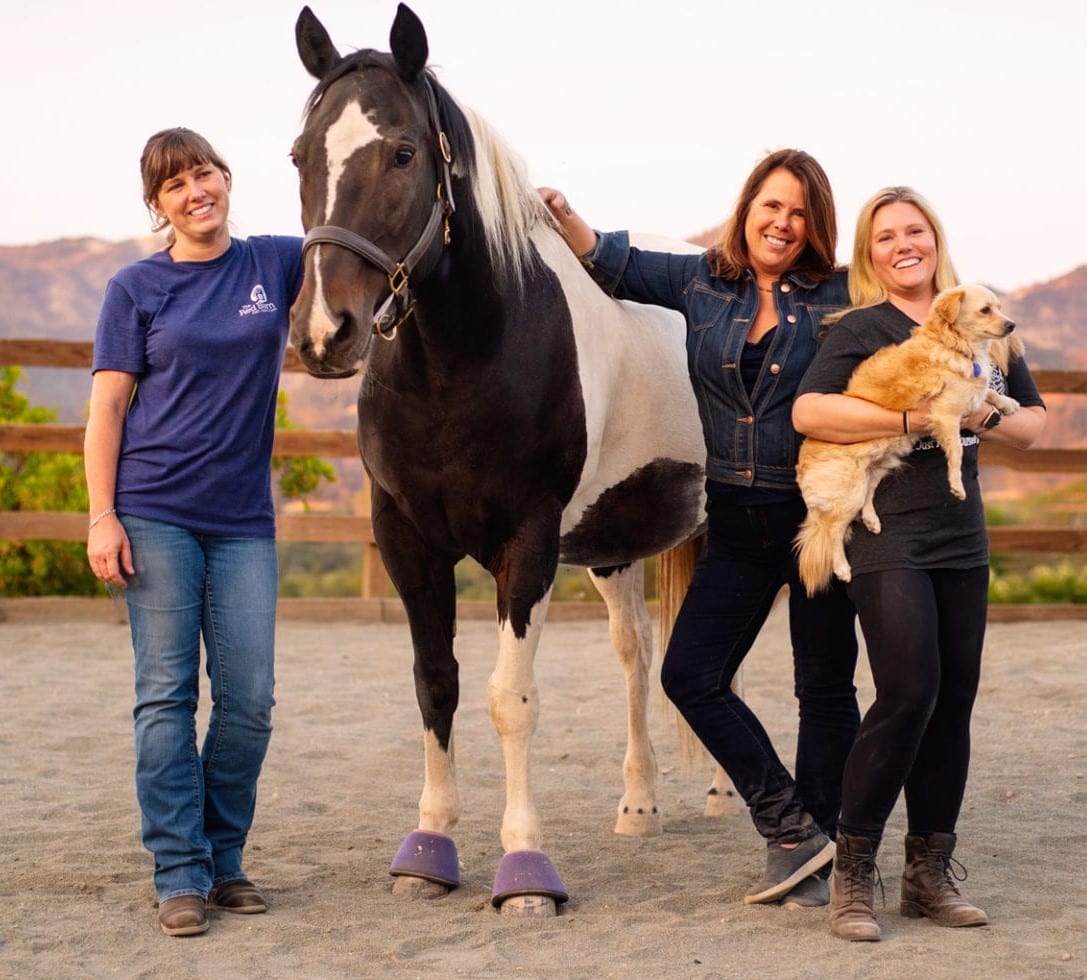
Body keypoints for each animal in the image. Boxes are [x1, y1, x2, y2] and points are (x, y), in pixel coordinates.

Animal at [293, 3, 708, 916]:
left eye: (402, 153)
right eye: (301, 155)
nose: (324, 333)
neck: (467, 357)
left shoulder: (529, 541)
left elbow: (509, 699)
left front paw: (524, 867)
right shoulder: (406, 538)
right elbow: (435, 681)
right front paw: (428, 848)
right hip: (614, 546)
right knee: (642, 653)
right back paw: (642, 804)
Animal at [800, 284, 1017, 595]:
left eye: (999, 307)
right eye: (985, 310)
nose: (1012, 325)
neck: (956, 346)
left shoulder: (968, 396)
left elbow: (986, 392)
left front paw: (1007, 403)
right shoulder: (946, 415)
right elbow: (956, 453)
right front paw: (956, 485)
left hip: (884, 463)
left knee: (868, 495)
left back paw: (872, 520)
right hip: (850, 491)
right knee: (834, 530)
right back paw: (842, 568)